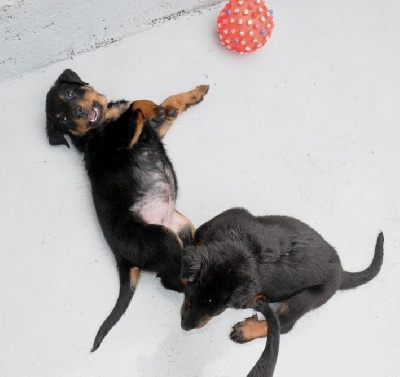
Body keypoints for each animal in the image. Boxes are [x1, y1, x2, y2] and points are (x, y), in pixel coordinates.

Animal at [46, 69, 209, 352]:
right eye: (63, 119)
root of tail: (122, 259)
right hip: (161, 239)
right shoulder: (121, 139)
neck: (103, 124)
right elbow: (137, 105)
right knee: (171, 280)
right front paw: (154, 106)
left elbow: (169, 102)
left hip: (183, 226)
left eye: (71, 93)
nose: (78, 111)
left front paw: (193, 95)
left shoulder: (150, 130)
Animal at [180, 207, 382, 342]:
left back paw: (246, 330)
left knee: (284, 323)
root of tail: (340, 271)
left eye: (217, 312)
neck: (242, 248)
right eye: (189, 301)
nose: (185, 327)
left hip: (308, 298)